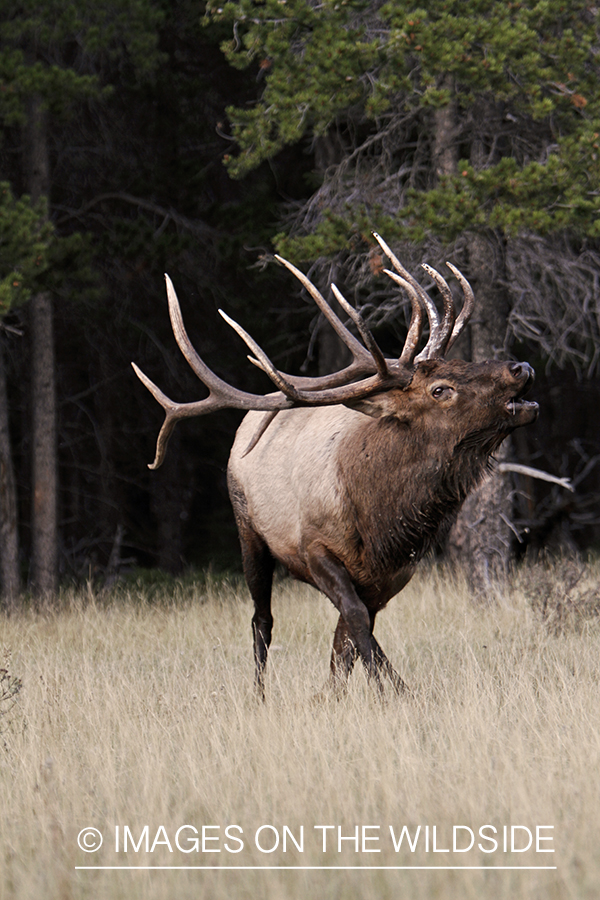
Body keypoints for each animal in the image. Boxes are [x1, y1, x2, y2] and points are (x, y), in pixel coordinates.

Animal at [135, 234, 540, 696]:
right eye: (441, 389)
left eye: (463, 363)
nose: (520, 366)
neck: (383, 522)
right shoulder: (314, 548)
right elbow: (355, 625)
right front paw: (393, 691)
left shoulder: (392, 575)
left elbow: (347, 640)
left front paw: (336, 695)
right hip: (248, 529)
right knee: (261, 619)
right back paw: (259, 693)